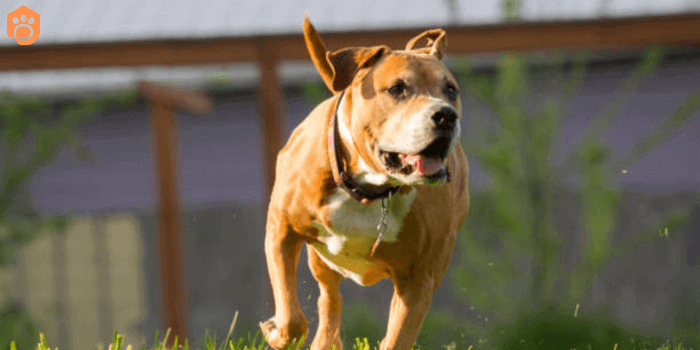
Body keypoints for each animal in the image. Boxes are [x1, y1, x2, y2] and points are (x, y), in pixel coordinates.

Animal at [258, 17, 470, 350]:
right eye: (397, 88)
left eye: (450, 90)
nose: (446, 115)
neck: (369, 189)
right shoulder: (281, 230)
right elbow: (292, 318)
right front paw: (277, 332)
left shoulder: (418, 278)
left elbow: (398, 338)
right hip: (321, 260)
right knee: (329, 297)